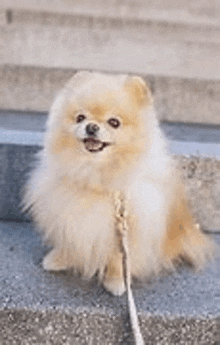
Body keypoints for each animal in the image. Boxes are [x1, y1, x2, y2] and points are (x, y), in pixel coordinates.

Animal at [21, 71, 211, 294]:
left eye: (114, 122)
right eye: (80, 117)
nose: (91, 126)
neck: (97, 178)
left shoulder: (130, 232)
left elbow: (119, 260)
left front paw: (116, 281)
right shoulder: (69, 215)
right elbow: (71, 241)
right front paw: (59, 259)